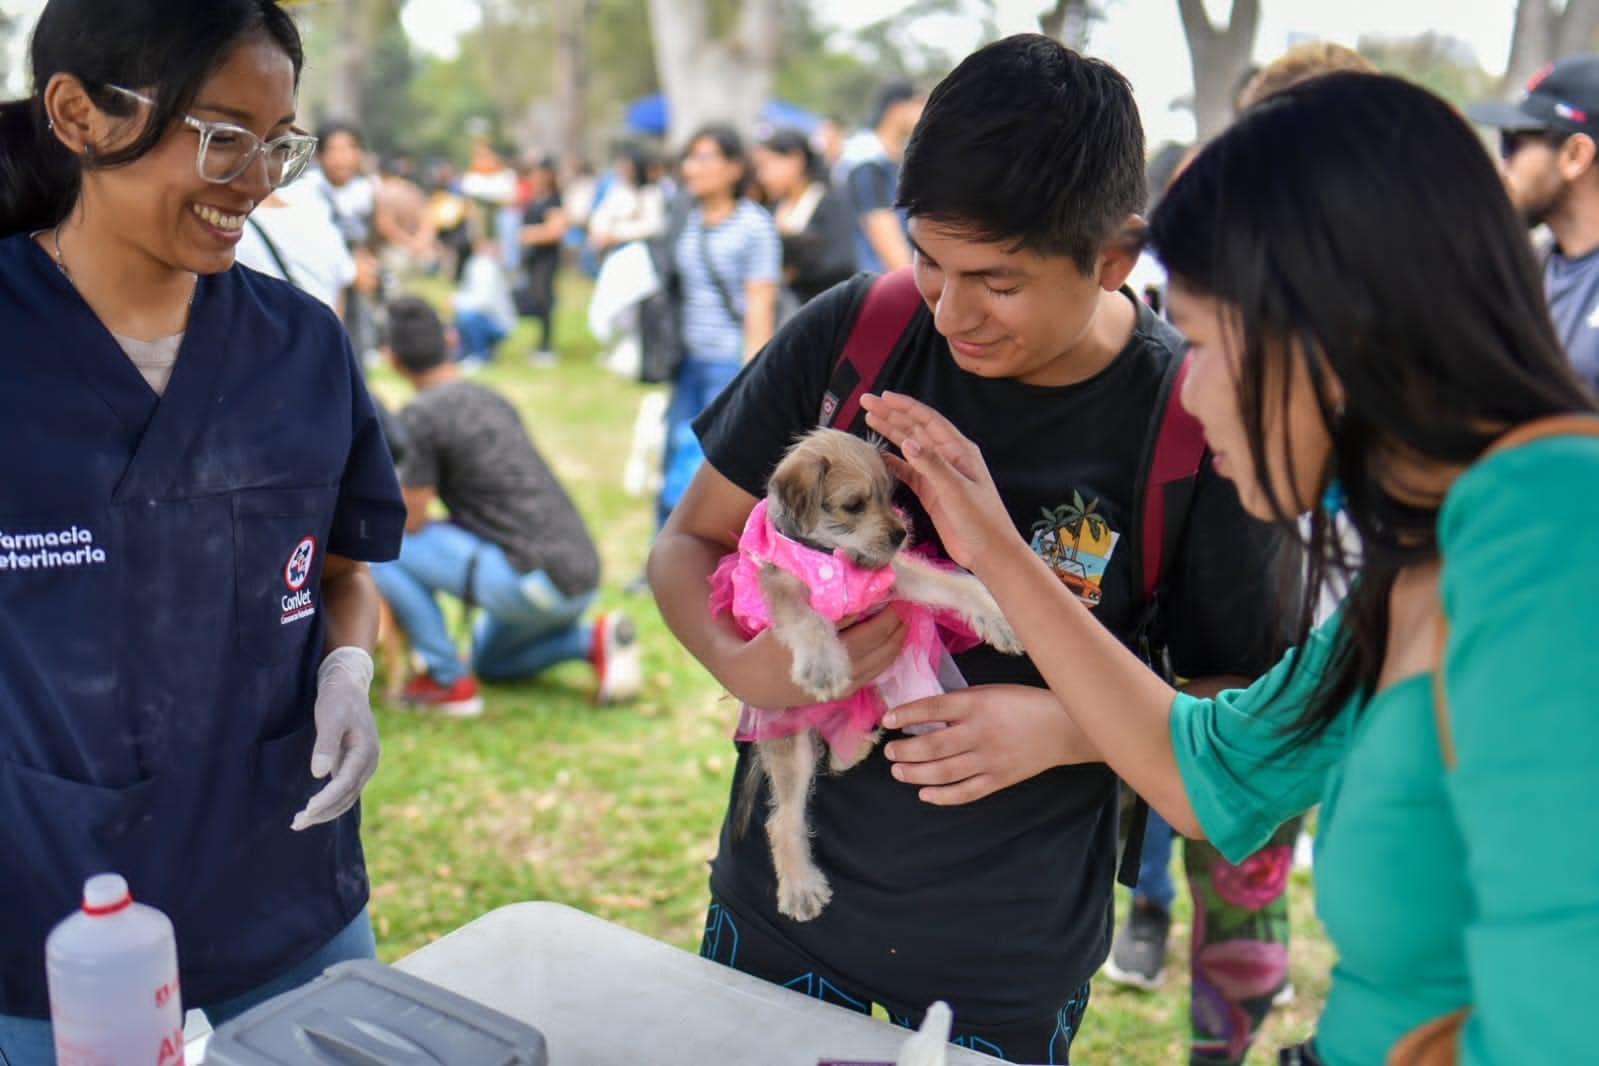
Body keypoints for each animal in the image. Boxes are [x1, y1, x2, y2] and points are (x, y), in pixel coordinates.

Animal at [738, 428, 1023, 920]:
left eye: (891, 496)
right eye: (853, 505)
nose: (900, 533)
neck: (832, 554)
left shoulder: (893, 576)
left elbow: (957, 584)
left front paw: (997, 618)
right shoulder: (782, 587)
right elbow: (807, 619)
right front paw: (824, 663)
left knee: (839, 753)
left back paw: (859, 742)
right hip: (791, 743)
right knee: (783, 819)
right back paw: (800, 887)